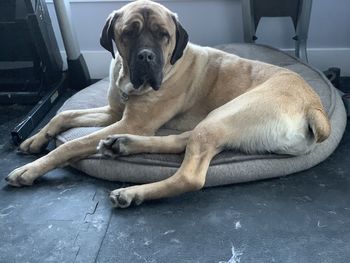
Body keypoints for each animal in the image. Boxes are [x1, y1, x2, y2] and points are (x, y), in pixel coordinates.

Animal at [5, 0, 330, 208]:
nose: (146, 56)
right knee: (181, 141)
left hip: (225, 114)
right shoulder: (114, 113)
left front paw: (29, 170)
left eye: (163, 35)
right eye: (128, 33)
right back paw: (121, 145)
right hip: (217, 123)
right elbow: (66, 114)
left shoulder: (132, 121)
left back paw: (133, 192)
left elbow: (70, 145)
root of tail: (314, 108)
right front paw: (35, 139)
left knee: (190, 176)